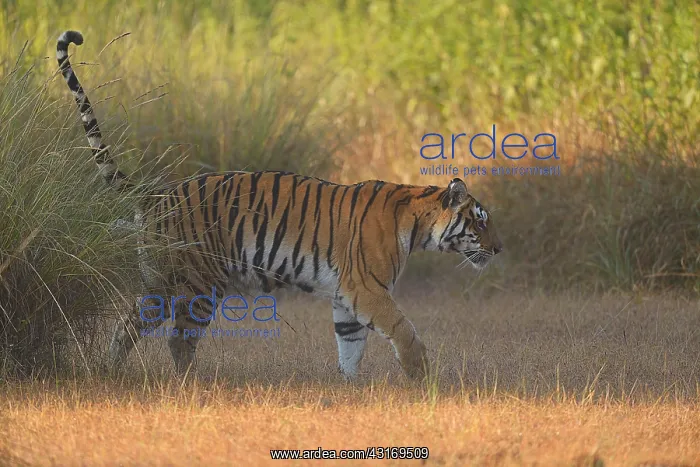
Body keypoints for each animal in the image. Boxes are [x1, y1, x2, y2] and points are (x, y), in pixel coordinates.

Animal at [57, 30, 503, 380]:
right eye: (479, 222)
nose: (500, 249)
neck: (417, 223)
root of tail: (157, 193)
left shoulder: (346, 297)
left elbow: (350, 345)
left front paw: (351, 390)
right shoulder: (367, 289)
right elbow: (404, 329)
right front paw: (423, 379)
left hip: (158, 279)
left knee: (128, 325)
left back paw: (109, 372)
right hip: (199, 281)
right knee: (179, 339)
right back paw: (190, 384)